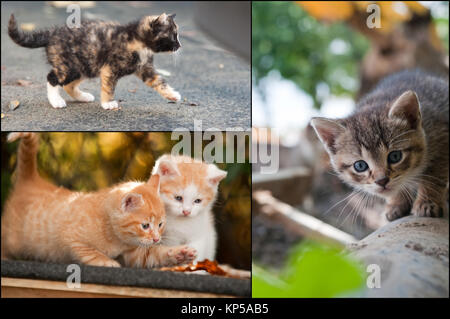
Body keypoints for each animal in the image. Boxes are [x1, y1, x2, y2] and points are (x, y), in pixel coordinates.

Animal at [0, 134, 196, 268]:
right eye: (145, 226)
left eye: (161, 224)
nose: (156, 238)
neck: (113, 233)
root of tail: (31, 179)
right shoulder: (71, 239)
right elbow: (92, 253)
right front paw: (108, 262)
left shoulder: (134, 253)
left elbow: (153, 255)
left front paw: (179, 253)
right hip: (12, 239)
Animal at [8, 12, 181, 110]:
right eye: (173, 36)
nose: (179, 45)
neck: (137, 39)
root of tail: (52, 33)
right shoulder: (110, 68)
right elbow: (109, 87)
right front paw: (108, 103)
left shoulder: (145, 68)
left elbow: (158, 81)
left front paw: (172, 95)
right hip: (69, 66)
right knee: (52, 77)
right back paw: (56, 100)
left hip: (84, 66)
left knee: (68, 85)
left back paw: (83, 97)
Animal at [312, 70, 448, 222]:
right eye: (360, 166)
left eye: (395, 156)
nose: (382, 181)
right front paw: (396, 203)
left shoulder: (441, 136)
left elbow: (434, 176)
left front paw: (427, 202)